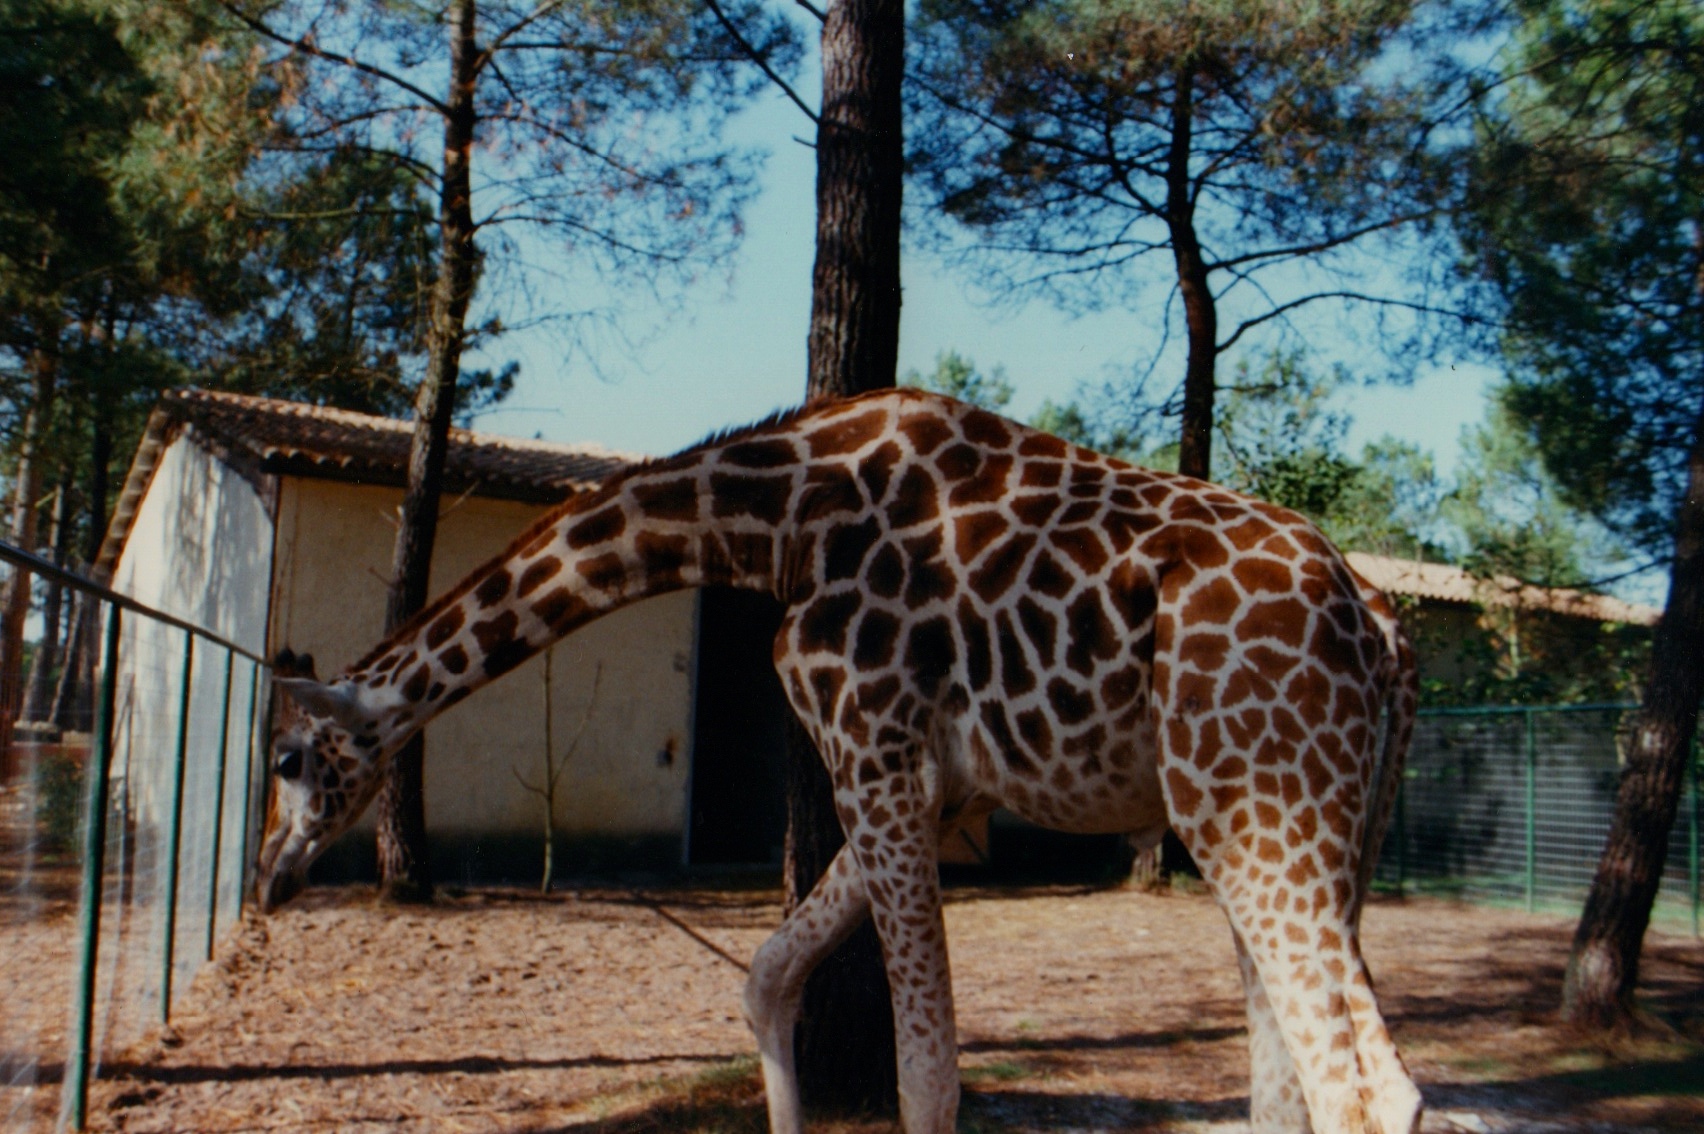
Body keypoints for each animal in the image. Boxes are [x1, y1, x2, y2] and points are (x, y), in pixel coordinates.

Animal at [252, 387, 1424, 1132]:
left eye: (288, 760)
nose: (266, 880)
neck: (773, 525)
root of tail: (1383, 629)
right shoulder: (926, 787)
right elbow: (767, 979)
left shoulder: (876, 749)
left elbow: (927, 1078)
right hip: (1317, 827)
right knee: (1292, 1087)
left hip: (1255, 804)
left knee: (1369, 1091)